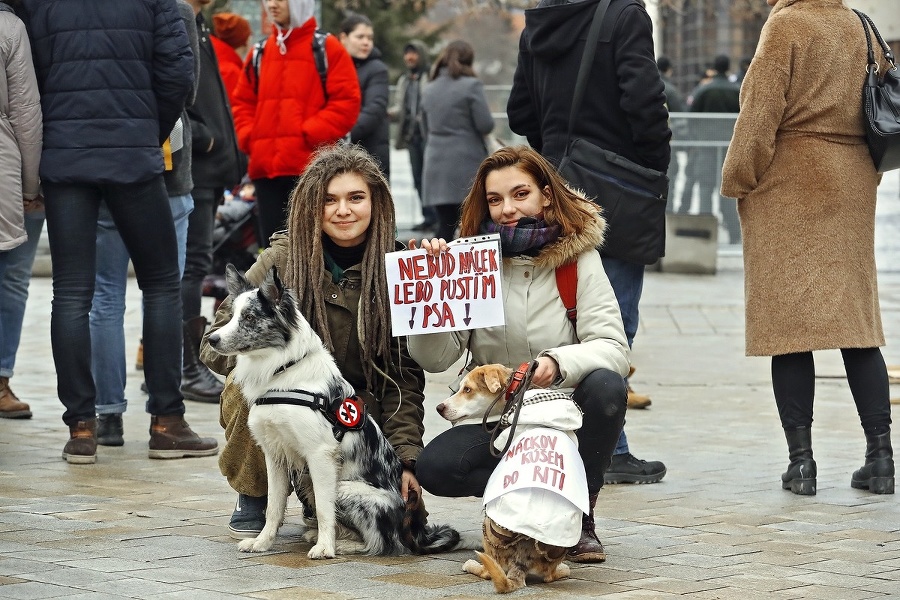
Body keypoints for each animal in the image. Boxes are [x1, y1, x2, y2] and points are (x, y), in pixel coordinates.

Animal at [438, 364, 576, 592]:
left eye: (467, 389)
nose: (439, 408)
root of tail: (522, 560)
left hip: (488, 530)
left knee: (489, 570)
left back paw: (472, 564)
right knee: (549, 575)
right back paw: (564, 569)